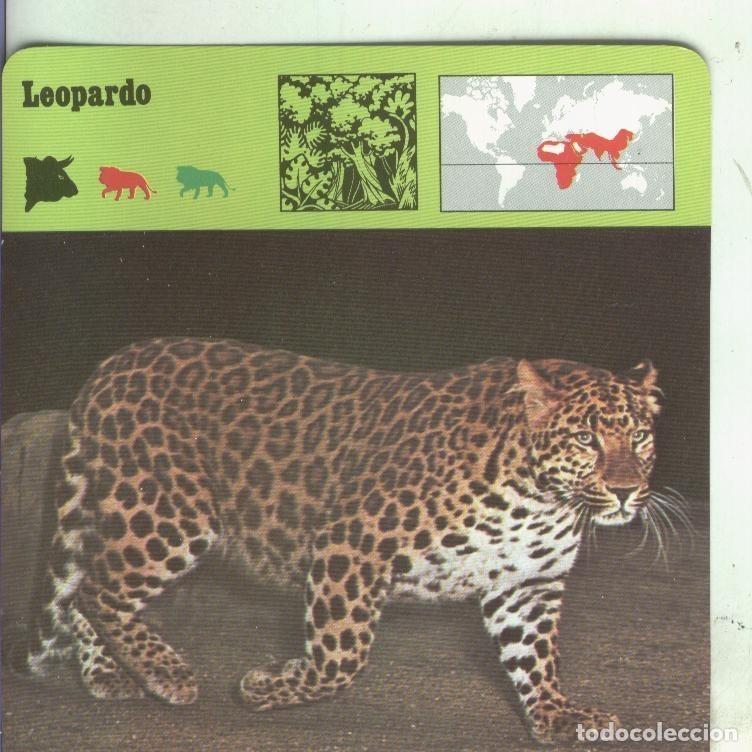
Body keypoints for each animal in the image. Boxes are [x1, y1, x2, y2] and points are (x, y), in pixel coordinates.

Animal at [12, 337, 667, 743]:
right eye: (585, 439)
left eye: (638, 437)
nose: (627, 492)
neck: (543, 501)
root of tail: (112, 365)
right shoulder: (352, 542)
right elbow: (343, 656)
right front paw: (266, 688)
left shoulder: (527, 583)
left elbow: (535, 656)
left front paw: (556, 714)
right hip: (167, 513)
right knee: (97, 590)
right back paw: (165, 672)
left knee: (82, 589)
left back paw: (107, 674)